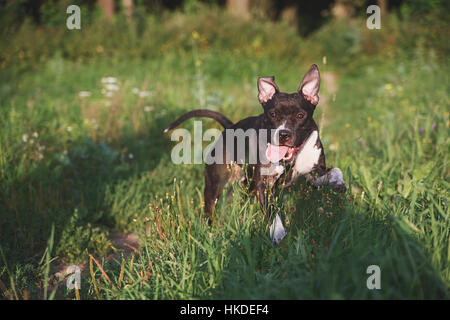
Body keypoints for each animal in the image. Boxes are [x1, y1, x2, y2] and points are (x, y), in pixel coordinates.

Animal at [165, 63, 344, 241]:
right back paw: (210, 232)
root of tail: (230, 127)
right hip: (215, 184)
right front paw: (278, 231)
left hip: (244, 185)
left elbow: (334, 171)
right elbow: (271, 211)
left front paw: (338, 182)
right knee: (210, 208)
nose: (283, 134)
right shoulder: (263, 184)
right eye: (273, 114)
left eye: (300, 115)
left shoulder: (314, 172)